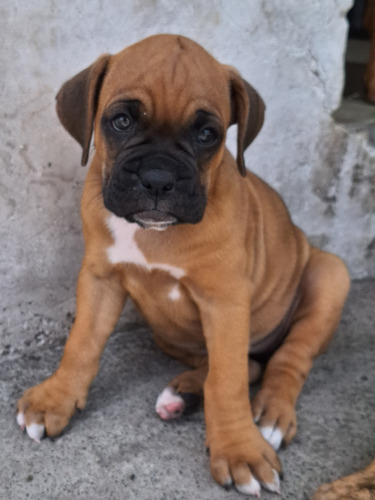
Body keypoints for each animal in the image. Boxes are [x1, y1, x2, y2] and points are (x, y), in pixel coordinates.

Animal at [16, 34, 352, 496]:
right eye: (121, 121)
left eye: (208, 134)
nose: (158, 179)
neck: (154, 234)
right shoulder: (100, 278)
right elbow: (81, 343)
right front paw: (56, 398)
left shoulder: (225, 302)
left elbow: (227, 381)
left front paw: (239, 449)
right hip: (169, 335)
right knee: (244, 363)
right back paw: (183, 395)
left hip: (331, 275)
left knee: (285, 360)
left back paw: (268, 415)